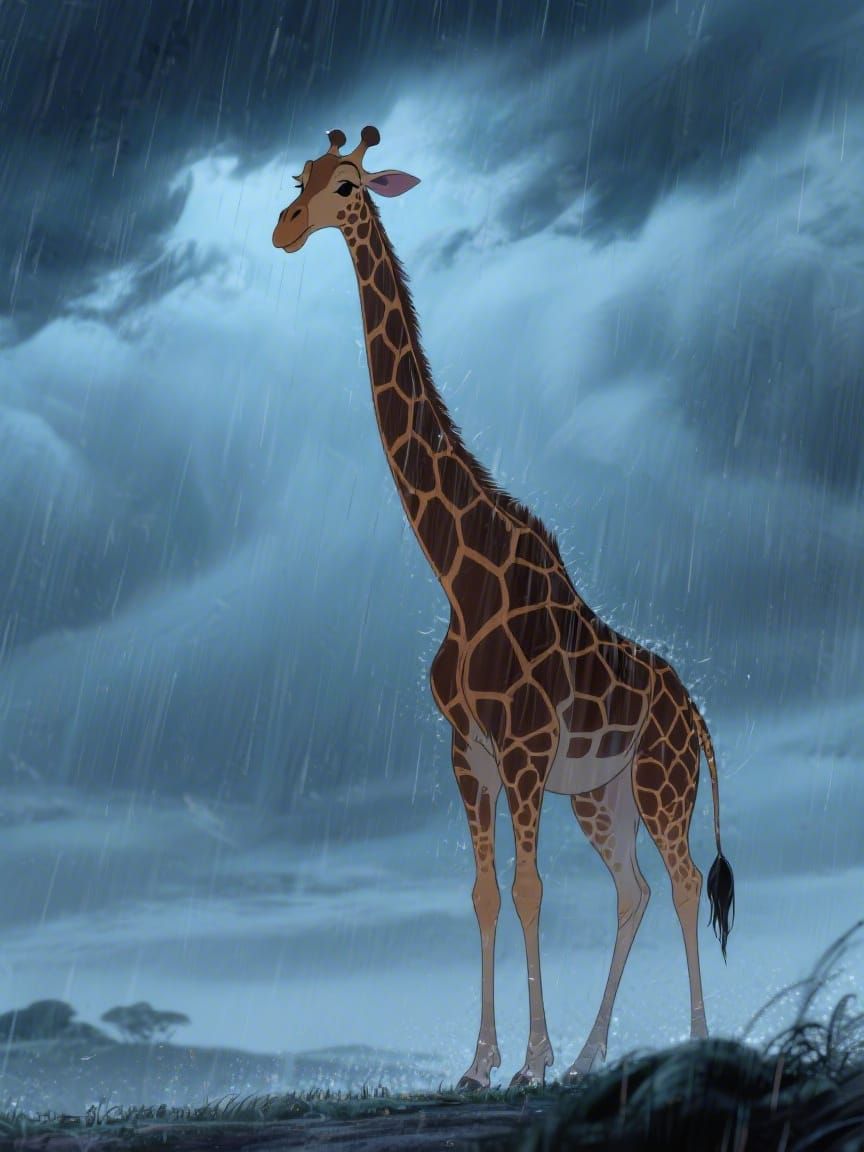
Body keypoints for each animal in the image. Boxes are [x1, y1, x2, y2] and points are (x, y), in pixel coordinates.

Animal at [272, 125, 735, 1088]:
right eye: (298, 177)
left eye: (346, 185)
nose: (285, 230)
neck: (457, 572)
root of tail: (698, 715)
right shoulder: (468, 755)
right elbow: (485, 894)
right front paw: (482, 1064)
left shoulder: (521, 751)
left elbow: (528, 890)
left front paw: (528, 1060)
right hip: (603, 796)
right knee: (633, 891)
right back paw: (596, 1053)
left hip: (661, 784)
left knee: (679, 886)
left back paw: (692, 1039)